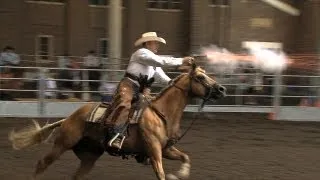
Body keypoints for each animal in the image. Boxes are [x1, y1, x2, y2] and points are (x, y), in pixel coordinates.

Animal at [8, 63, 226, 180]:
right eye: (200, 77)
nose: (222, 89)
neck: (161, 113)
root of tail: (70, 117)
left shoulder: (166, 149)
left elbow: (185, 158)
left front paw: (179, 174)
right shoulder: (154, 150)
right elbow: (161, 173)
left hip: (89, 156)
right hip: (62, 144)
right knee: (42, 163)